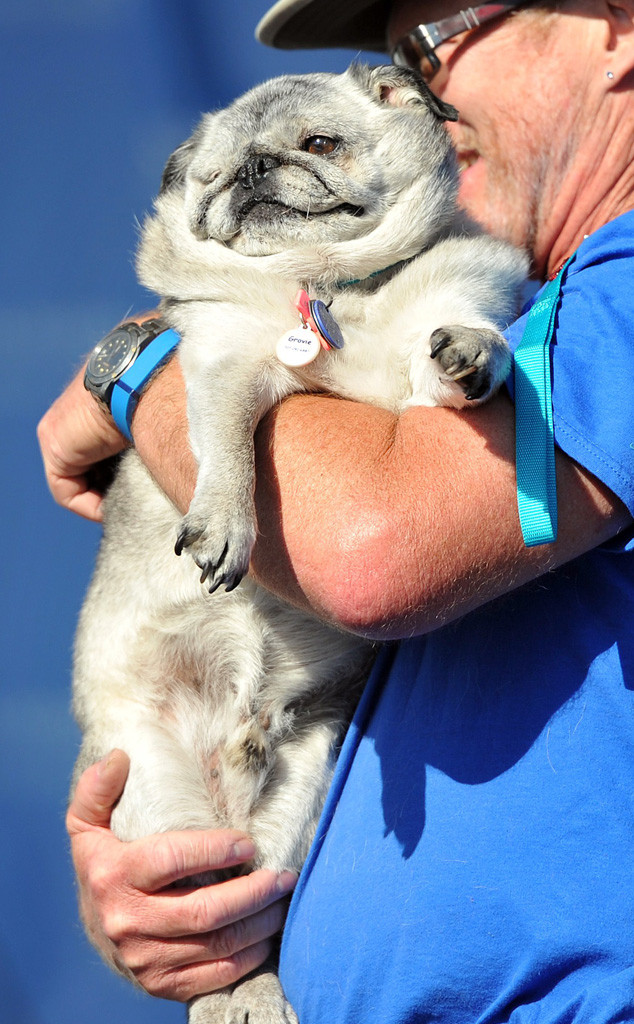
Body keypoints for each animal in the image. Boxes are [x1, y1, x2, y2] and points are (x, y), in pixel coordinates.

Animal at [73, 64, 532, 1024]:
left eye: (319, 143)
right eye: (211, 179)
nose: (251, 172)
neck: (338, 290)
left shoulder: (444, 328)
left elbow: (457, 348)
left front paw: (476, 355)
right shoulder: (226, 366)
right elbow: (228, 447)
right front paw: (224, 521)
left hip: (300, 794)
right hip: (160, 810)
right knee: (219, 940)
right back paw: (235, 997)